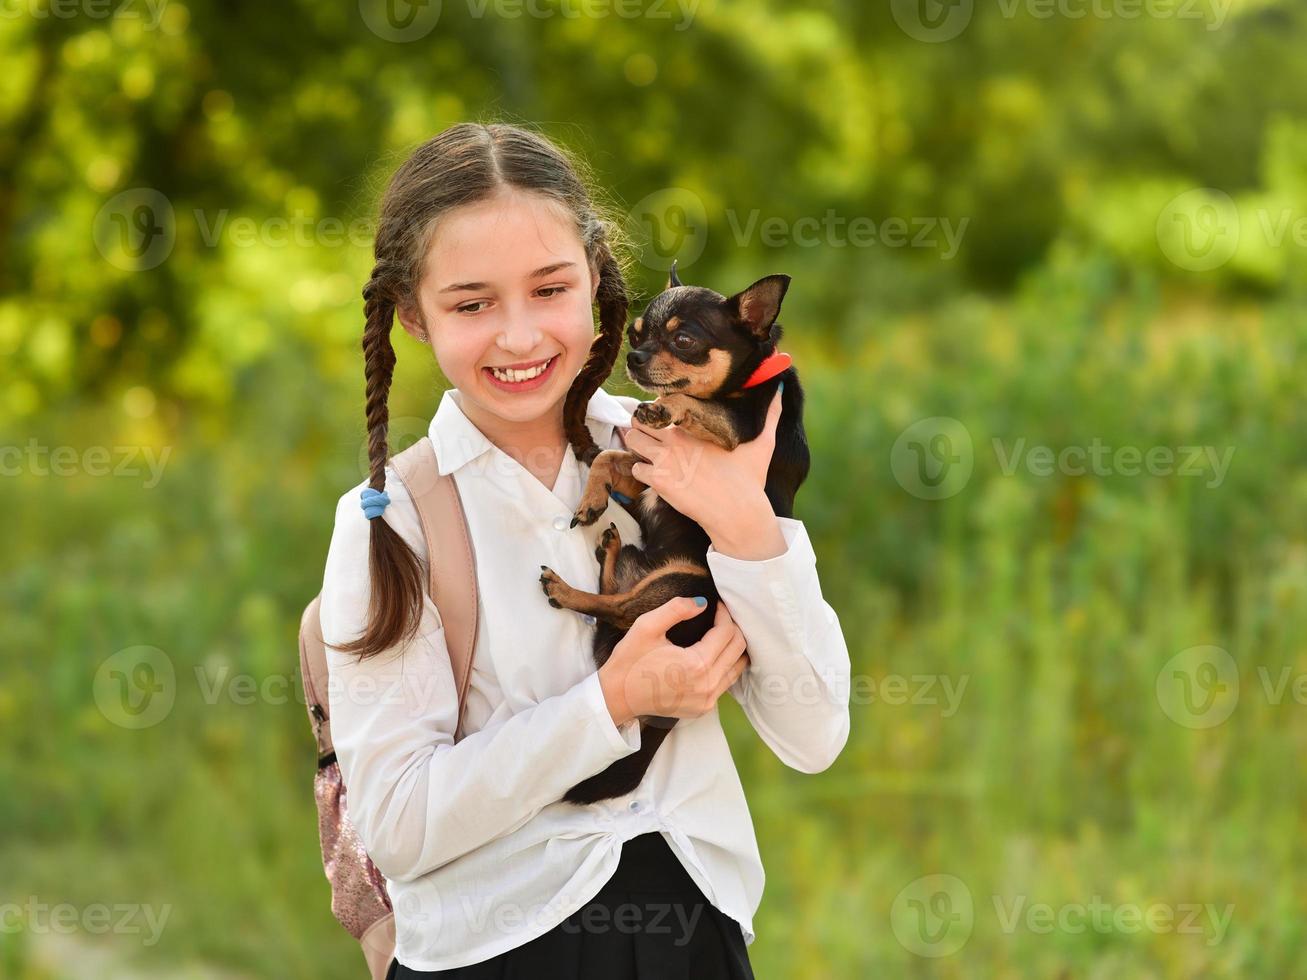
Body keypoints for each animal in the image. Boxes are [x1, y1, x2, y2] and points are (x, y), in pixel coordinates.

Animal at [538, 262, 805, 804]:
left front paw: (666, 407)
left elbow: (689, 402)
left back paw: (566, 589)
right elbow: (608, 455)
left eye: (684, 340)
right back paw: (608, 551)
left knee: (618, 610)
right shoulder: (646, 473)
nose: (634, 357)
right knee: (615, 599)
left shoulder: (737, 428)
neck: (739, 386)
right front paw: (592, 498)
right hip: (650, 572)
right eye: (636, 333)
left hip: (685, 585)